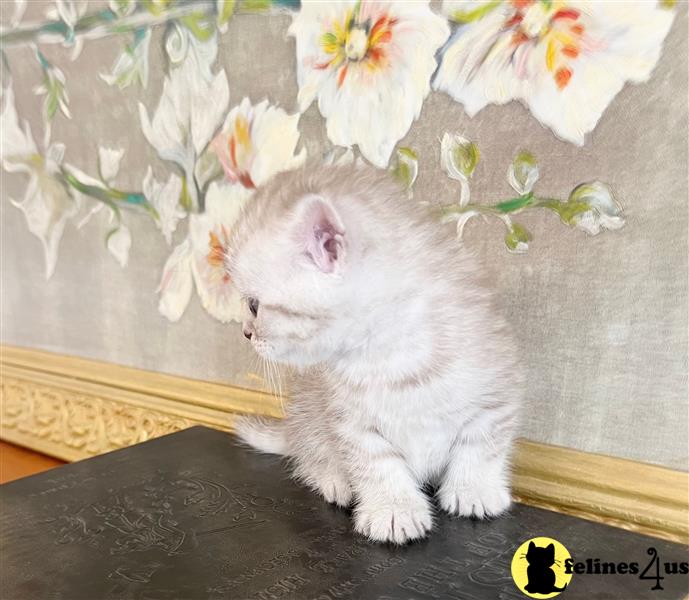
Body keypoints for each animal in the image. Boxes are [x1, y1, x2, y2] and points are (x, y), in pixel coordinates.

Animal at [227, 163, 520, 544]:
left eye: (254, 305)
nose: (246, 333)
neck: (389, 357)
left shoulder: (498, 387)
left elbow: (483, 443)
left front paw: (474, 490)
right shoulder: (349, 420)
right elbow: (375, 463)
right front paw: (394, 510)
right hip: (309, 411)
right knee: (309, 455)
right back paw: (333, 479)